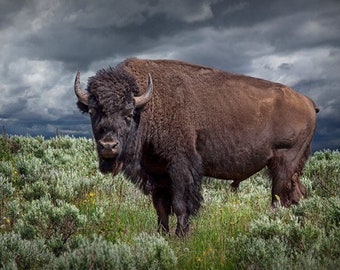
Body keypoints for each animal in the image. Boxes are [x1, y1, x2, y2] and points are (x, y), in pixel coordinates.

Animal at [73, 58, 318, 235]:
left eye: (128, 113)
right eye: (93, 111)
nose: (108, 146)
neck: (150, 105)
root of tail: (307, 101)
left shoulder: (180, 166)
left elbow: (181, 203)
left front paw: (182, 236)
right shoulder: (156, 172)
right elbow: (161, 207)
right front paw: (162, 235)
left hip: (284, 162)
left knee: (280, 198)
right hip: (291, 168)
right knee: (297, 195)